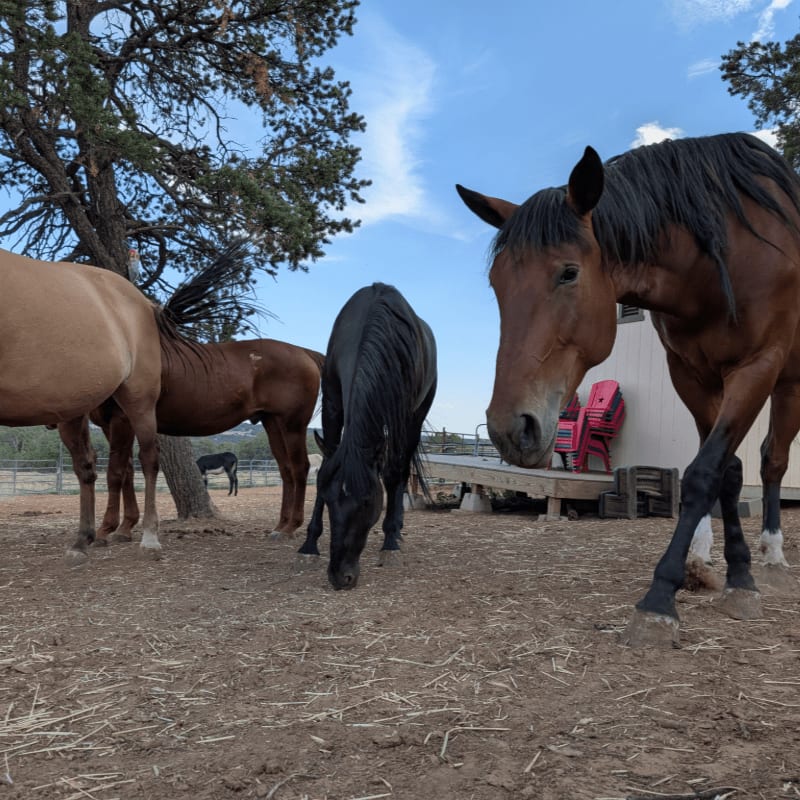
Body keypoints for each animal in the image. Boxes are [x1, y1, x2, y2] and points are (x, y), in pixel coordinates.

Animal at [0, 247, 198, 562]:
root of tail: (144, 302)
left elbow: (122, 469)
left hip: (138, 402)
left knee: (147, 461)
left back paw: (148, 537)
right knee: (91, 466)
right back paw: (88, 537)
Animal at [298, 283, 437, 590]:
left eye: (366, 501)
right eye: (328, 499)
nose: (340, 577)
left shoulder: (402, 415)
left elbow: (394, 474)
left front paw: (390, 544)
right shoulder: (333, 404)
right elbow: (325, 466)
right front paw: (309, 546)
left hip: (416, 417)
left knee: (400, 470)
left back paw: (394, 533)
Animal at [457, 132, 800, 646]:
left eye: (569, 272)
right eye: (498, 283)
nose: (507, 429)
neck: (720, 255)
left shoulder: (758, 367)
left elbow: (704, 473)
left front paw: (660, 599)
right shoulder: (692, 376)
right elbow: (725, 472)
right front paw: (736, 577)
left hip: (791, 382)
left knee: (775, 461)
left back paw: (775, 558)